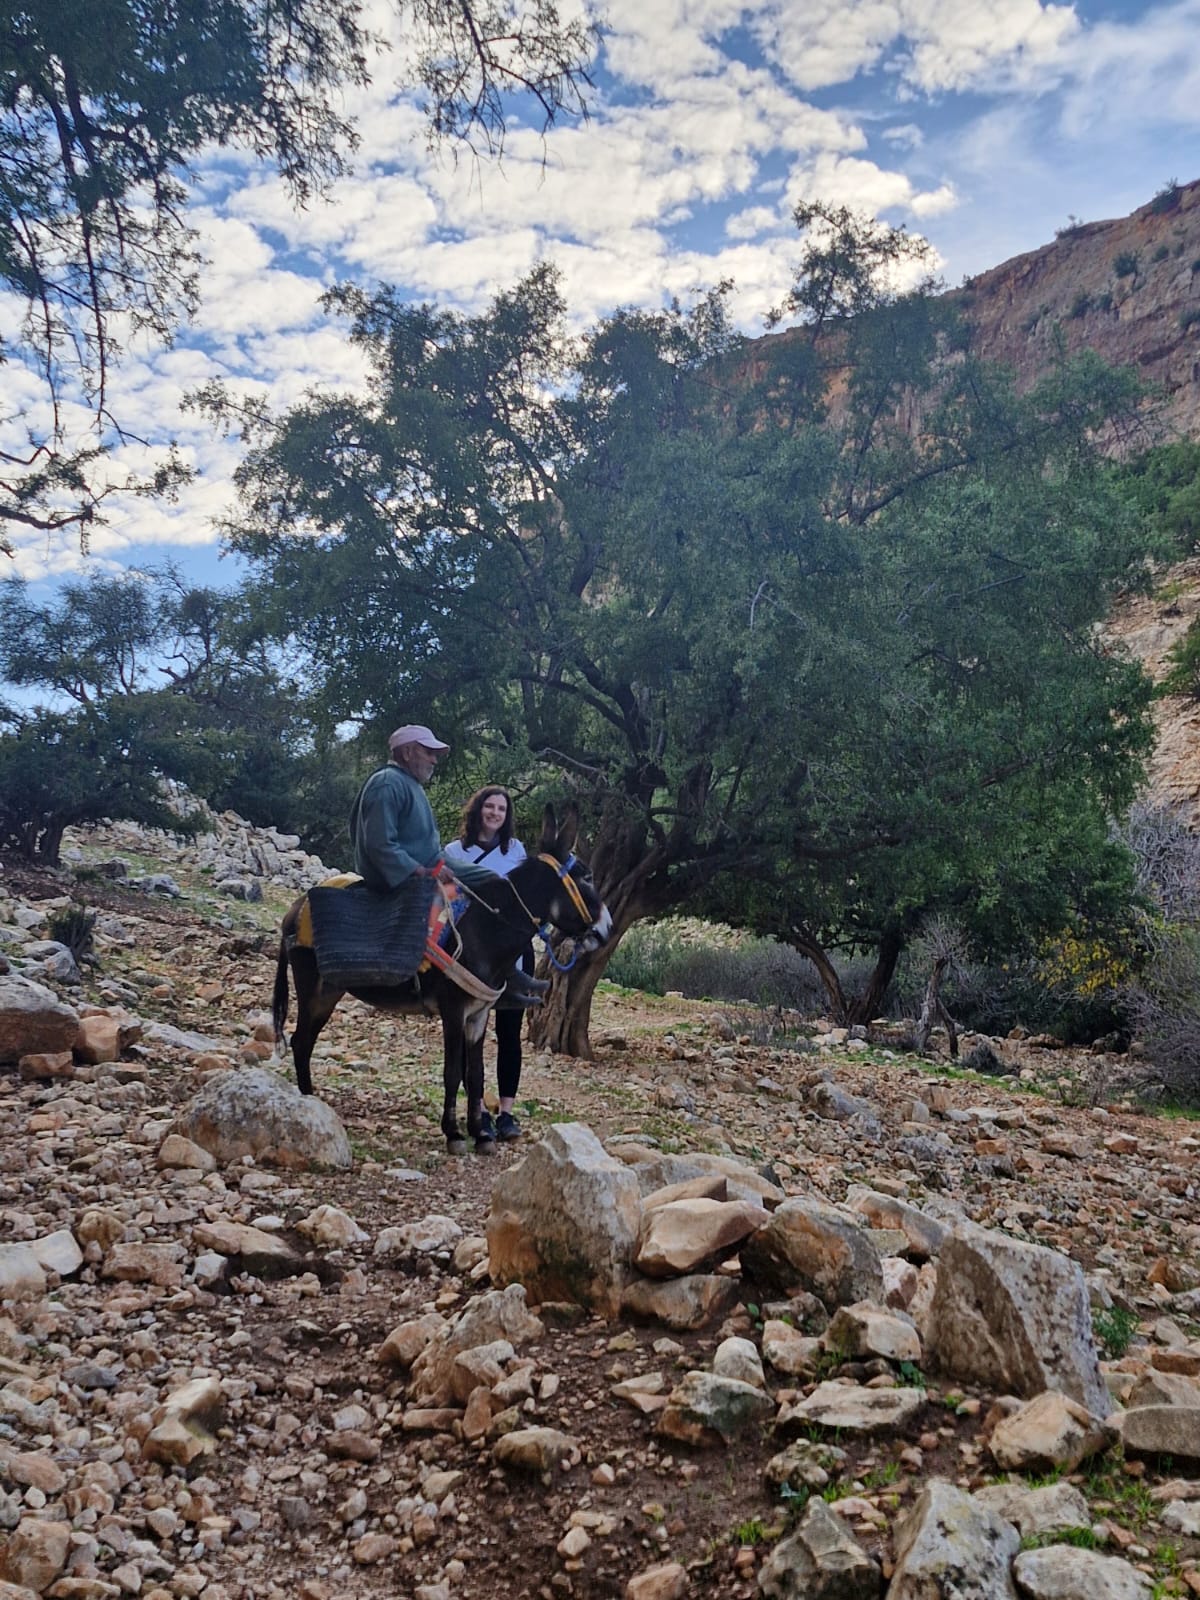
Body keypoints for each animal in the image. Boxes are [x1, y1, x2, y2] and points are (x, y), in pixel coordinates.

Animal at [272, 805, 612, 1153]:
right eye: (587, 876)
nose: (606, 930)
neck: (485, 930)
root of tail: (298, 907)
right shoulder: (453, 1010)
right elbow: (453, 1071)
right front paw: (454, 1133)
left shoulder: (478, 1013)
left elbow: (476, 1074)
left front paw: (481, 1133)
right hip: (311, 987)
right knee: (301, 1041)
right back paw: (309, 1103)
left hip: (329, 991)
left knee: (305, 1041)